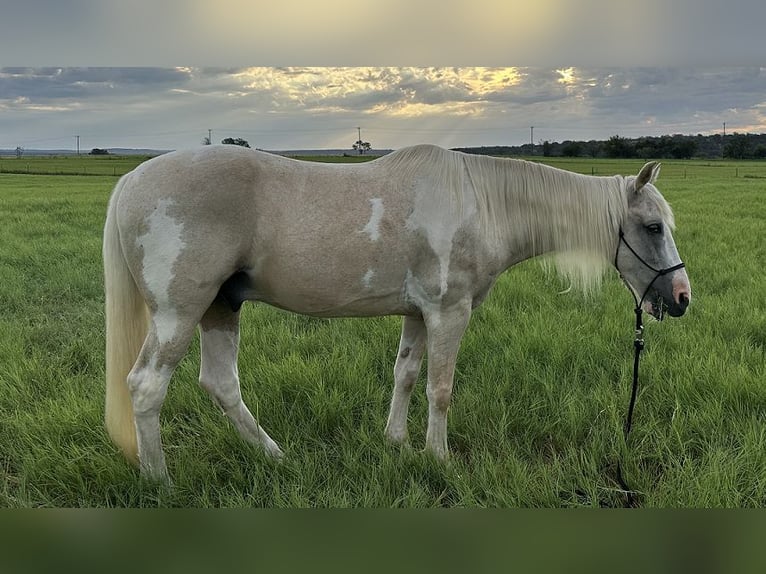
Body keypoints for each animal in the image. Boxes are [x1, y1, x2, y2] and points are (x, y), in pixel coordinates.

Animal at [103, 144, 691, 482]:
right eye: (652, 227)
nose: (682, 298)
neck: (481, 203)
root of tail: (130, 181)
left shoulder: (418, 313)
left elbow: (405, 373)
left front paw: (398, 444)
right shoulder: (450, 312)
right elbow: (440, 387)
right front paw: (439, 458)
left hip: (222, 306)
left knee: (221, 384)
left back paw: (275, 457)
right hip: (179, 312)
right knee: (147, 386)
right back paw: (160, 482)